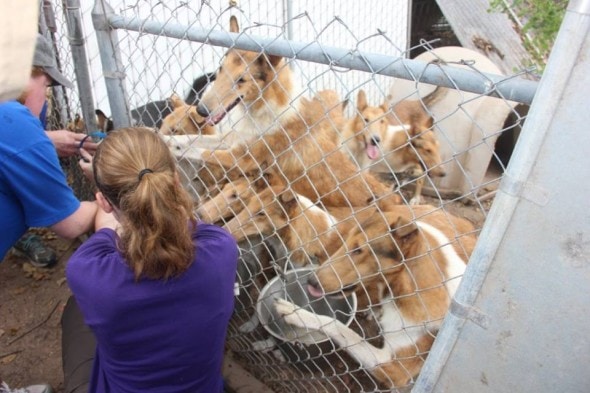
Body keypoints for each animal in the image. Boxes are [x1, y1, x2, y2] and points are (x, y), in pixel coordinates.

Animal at [276, 205, 478, 388]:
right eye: (346, 241)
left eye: (358, 250)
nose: (310, 281)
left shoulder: (392, 366)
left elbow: (339, 326)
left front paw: (295, 312)